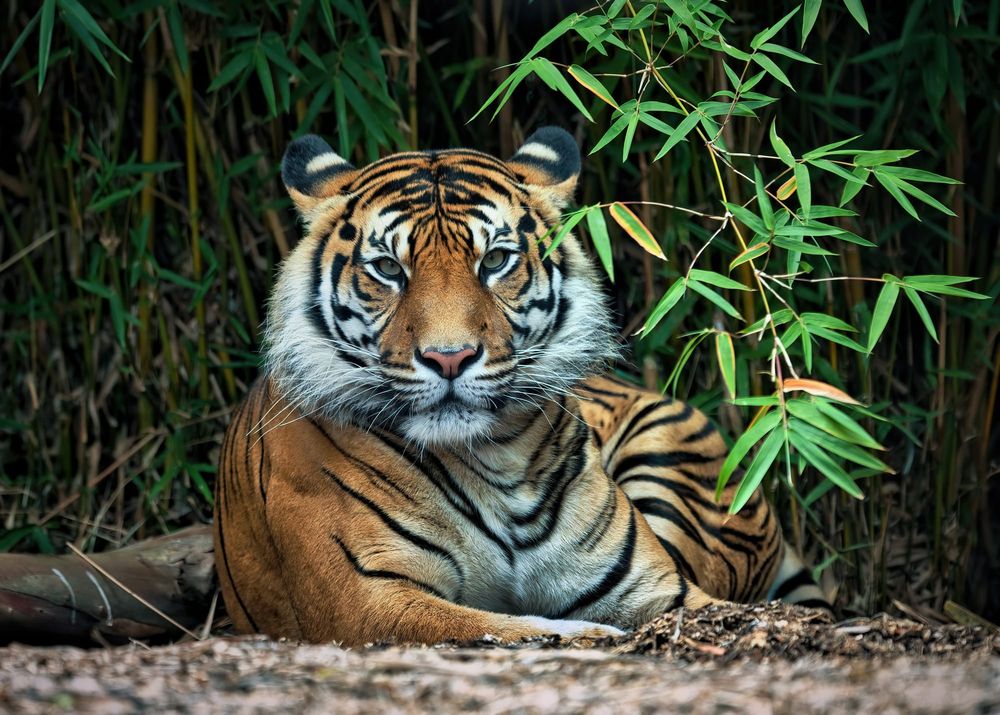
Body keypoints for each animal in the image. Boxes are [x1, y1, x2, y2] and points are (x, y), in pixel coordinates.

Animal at [213, 126, 827, 646]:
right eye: (388, 268)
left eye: (496, 260)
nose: (450, 357)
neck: (496, 459)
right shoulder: (366, 600)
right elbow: (510, 626)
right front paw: (591, 634)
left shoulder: (656, 587)